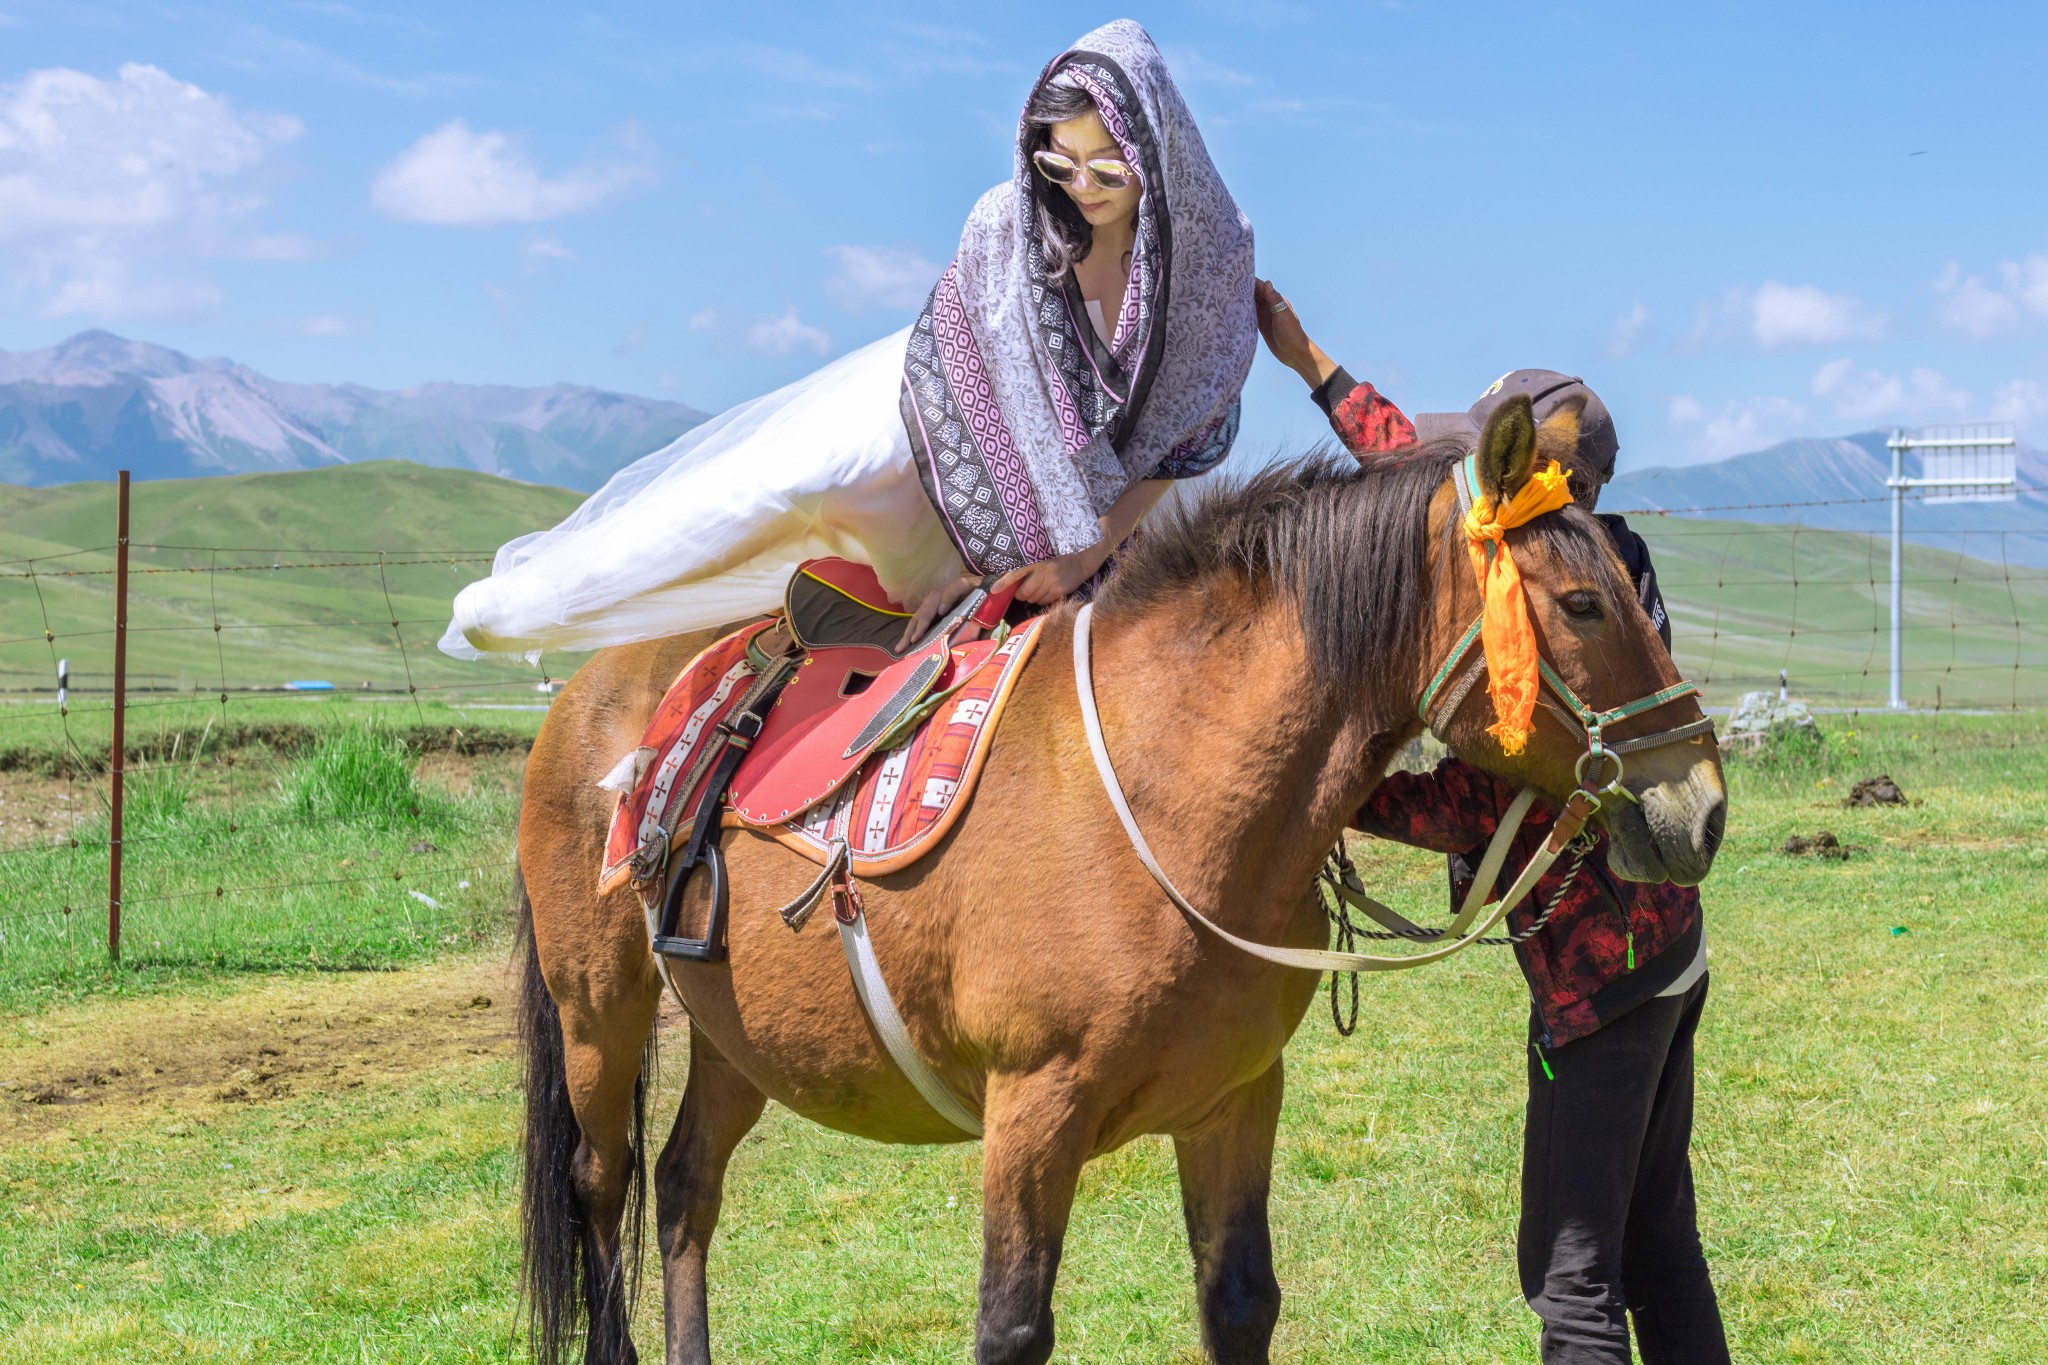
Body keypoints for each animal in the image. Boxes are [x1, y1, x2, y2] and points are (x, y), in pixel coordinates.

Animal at [503, 397, 1720, 1365]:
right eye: (1581, 604)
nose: (1699, 808)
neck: (1161, 787)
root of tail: (590, 694)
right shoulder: (1030, 1114)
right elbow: (1011, 1327)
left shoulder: (1235, 1100)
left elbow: (1239, 1302)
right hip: (600, 1012)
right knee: (602, 1183)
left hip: (736, 1034)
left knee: (683, 1192)